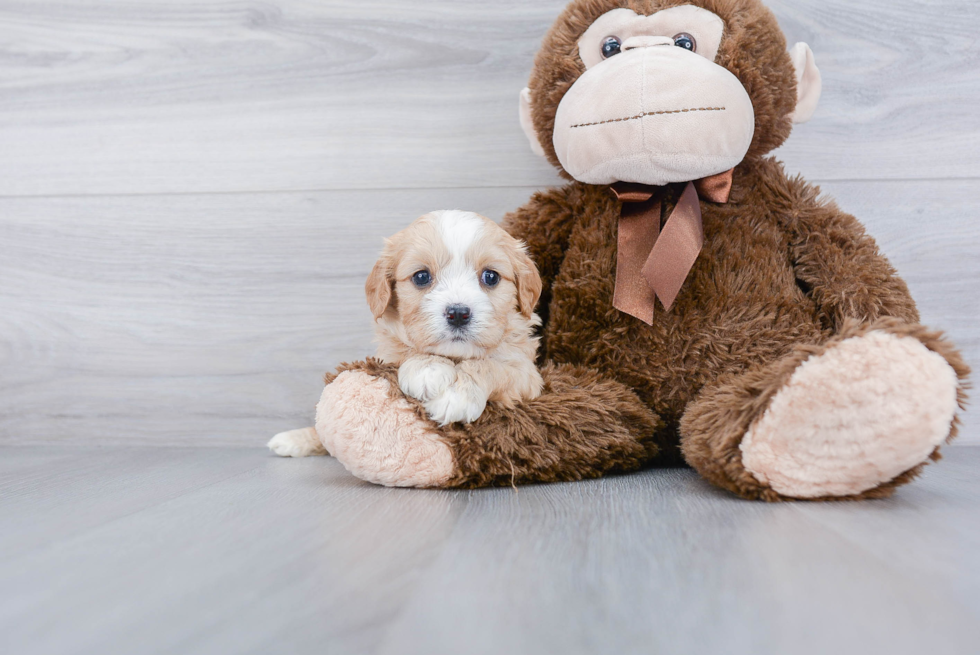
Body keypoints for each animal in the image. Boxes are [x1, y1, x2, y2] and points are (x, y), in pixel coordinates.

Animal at [268, 213, 544, 458]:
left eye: (491, 276)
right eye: (421, 276)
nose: (458, 313)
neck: (453, 356)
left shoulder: (529, 378)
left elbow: (490, 365)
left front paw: (457, 396)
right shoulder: (387, 357)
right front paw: (427, 368)